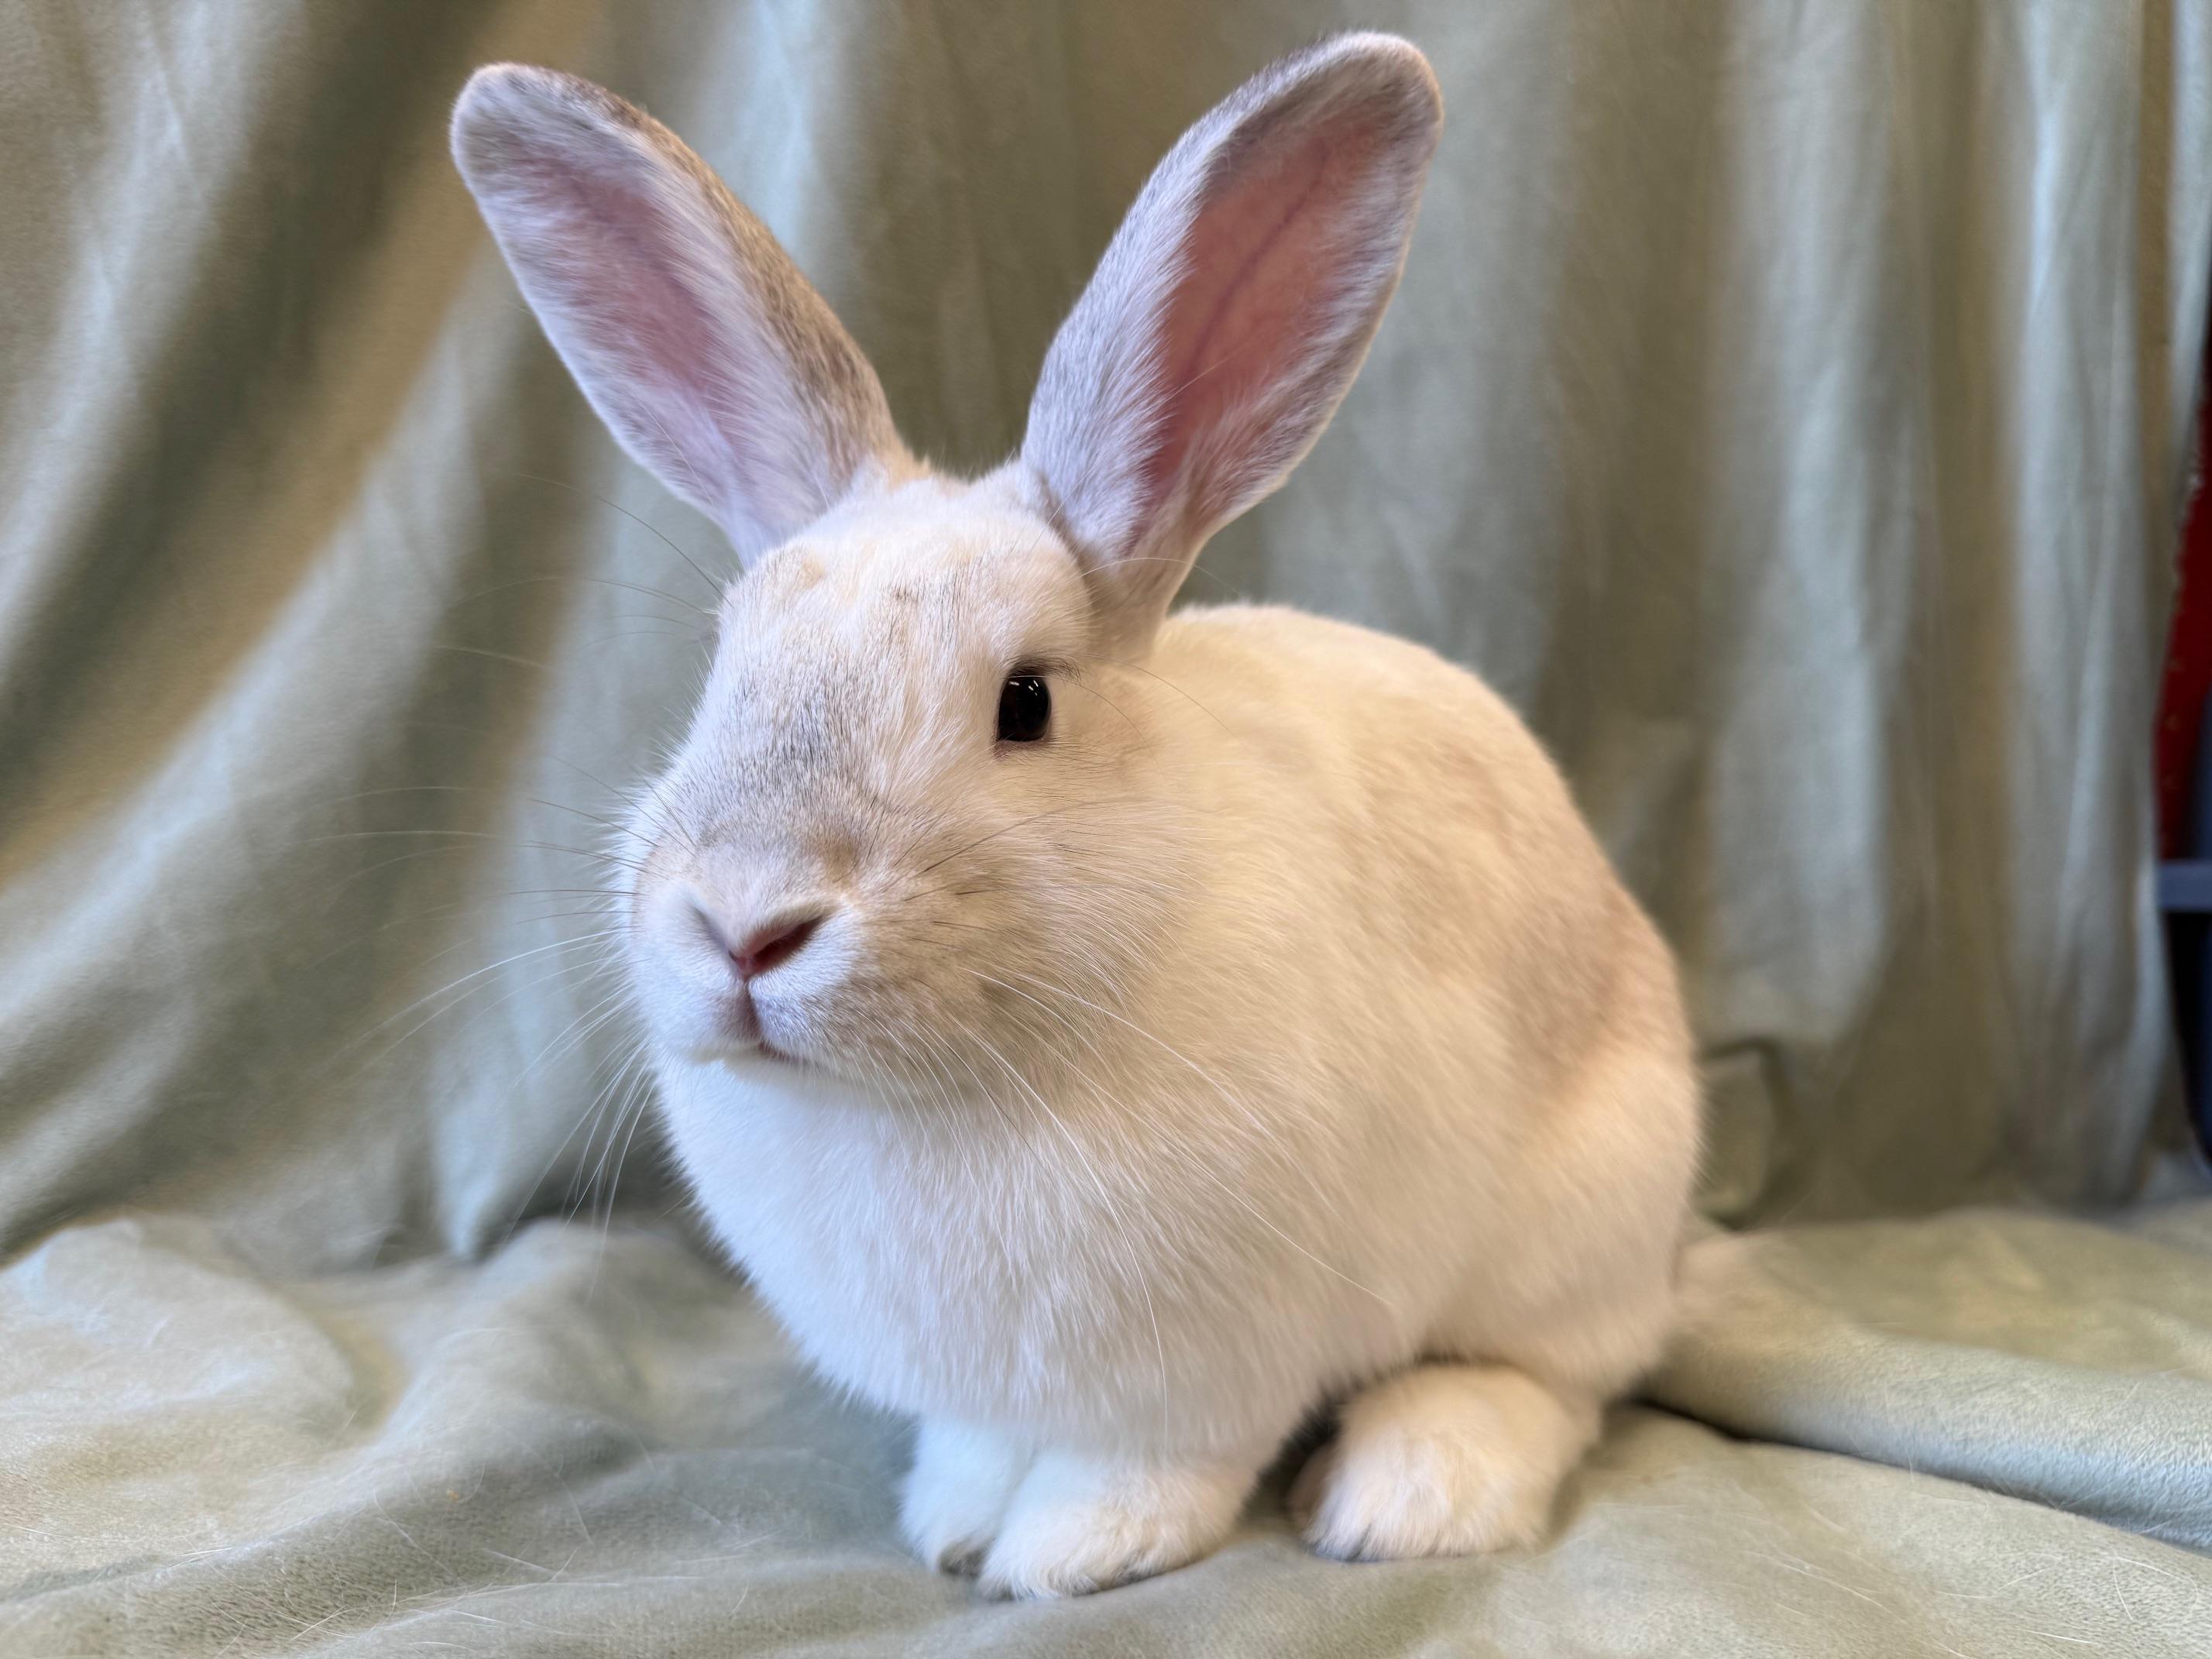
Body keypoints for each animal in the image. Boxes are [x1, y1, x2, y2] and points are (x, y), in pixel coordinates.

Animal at [451, 32, 1700, 1600]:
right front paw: (953, 1520)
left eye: (1026, 701)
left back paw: (1410, 1494)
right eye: (721, 668)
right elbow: (983, 1443)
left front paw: (1064, 1552)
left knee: (1550, 1378)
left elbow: (1150, 1466)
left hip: (1573, 1222)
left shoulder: (1203, 1371)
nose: (745, 926)